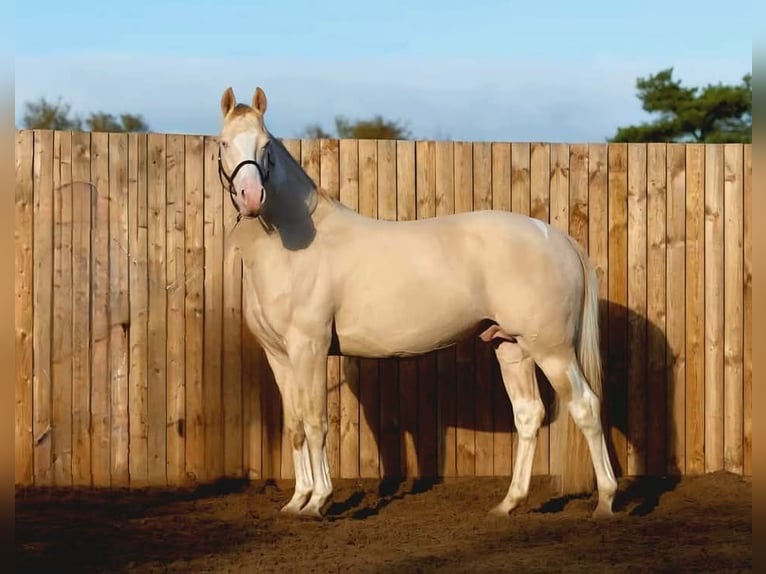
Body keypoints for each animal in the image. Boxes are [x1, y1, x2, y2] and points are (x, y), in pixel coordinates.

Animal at [217, 85, 618, 520]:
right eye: (223, 143)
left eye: (265, 146)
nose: (251, 197)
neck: (296, 242)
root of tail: (559, 239)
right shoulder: (279, 355)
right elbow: (294, 426)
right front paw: (296, 501)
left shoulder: (310, 348)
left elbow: (314, 422)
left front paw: (319, 501)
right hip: (511, 346)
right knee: (529, 415)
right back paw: (507, 504)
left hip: (553, 350)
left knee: (586, 407)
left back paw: (606, 501)